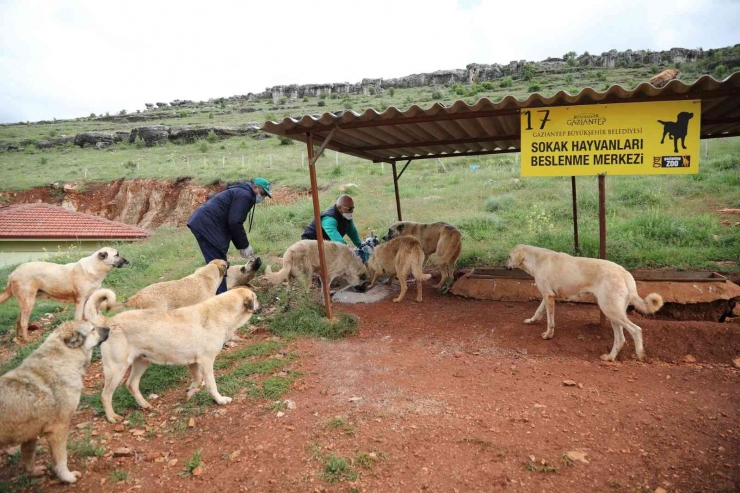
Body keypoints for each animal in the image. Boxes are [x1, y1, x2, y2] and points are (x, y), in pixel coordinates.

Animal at [0, 248, 129, 340]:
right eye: (117, 255)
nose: (129, 262)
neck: (95, 268)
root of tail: (13, 273)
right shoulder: (80, 301)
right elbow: (79, 319)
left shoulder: (88, 300)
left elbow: (87, 318)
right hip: (29, 303)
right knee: (23, 323)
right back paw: (27, 341)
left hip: (25, 303)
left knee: (18, 321)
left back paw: (18, 338)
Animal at [0, 318, 110, 482]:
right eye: (92, 329)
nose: (109, 328)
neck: (63, 359)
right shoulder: (58, 428)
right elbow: (61, 459)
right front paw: (67, 477)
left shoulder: (30, 434)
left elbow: (28, 457)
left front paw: (32, 472)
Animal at [84, 288, 260, 422]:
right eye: (256, 298)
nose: (261, 305)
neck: (219, 313)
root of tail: (109, 322)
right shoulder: (206, 361)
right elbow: (211, 385)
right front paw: (220, 400)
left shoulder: (194, 363)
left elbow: (197, 380)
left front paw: (188, 395)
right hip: (117, 369)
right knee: (105, 395)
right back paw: (112, 417)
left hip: (142, 362)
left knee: (131, 384)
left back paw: (145, 405)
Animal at [506, 243, 660, 362]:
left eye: (508, 256)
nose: (504, 264)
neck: (537, 259)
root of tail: (625, 273)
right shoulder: (548, 296)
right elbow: (538, 311)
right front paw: (531, 321)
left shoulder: (548, 296)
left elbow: (550, 321)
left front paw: (548, 335)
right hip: (613, 313)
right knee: (621, 339)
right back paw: (610, 357)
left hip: (610, 310)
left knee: (636, 330)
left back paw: (639, 354)